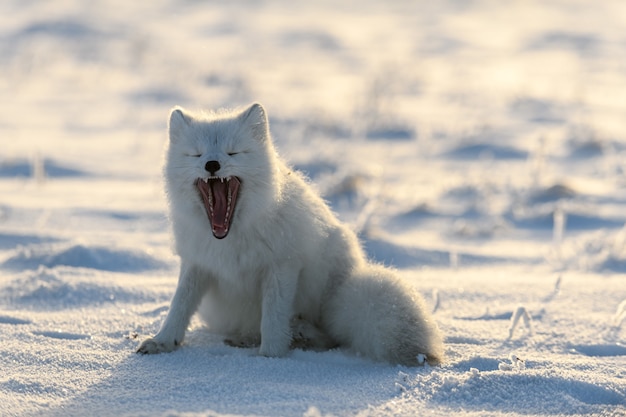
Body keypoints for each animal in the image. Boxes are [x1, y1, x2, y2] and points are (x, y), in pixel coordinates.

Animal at [136, 103, 442, 364]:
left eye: (233, 152)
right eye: (196, 154)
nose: (212, 164)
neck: (231, 237)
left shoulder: (282, 265)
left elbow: (273, 318)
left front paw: (270, 359)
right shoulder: (197, 263)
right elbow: (179, 306)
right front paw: (162, 342)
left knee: (328, 336)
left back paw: (300, 333)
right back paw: (249, 338)